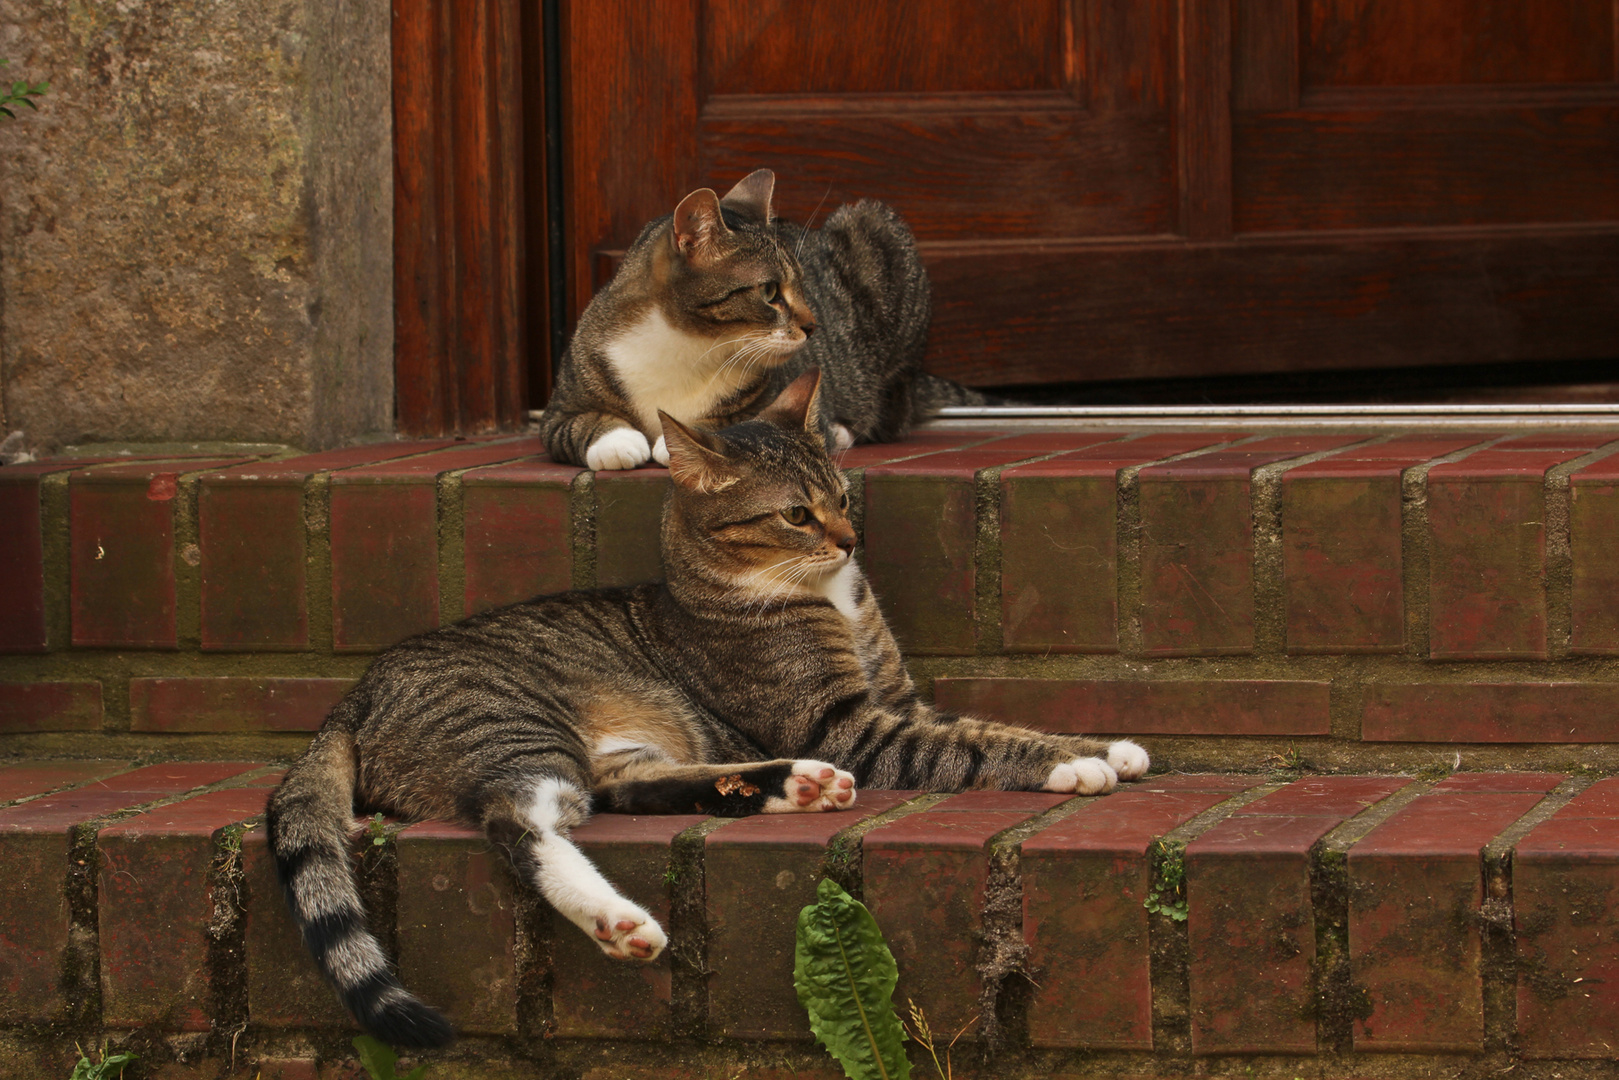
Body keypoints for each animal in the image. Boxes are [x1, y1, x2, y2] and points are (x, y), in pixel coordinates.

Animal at [265, 369, 1146, 1049]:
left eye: (842, 495)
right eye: (796, 514)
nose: (850, 541)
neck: (825, 593)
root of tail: (357, 693)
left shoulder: (895, 698)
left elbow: (981, 723)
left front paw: (1110, 746)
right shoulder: (848, 725)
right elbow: (971, 744)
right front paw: (1075, 764)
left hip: (622, 751)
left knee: (629, 793)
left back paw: (799, 787)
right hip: (515, 727)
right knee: (520, 822)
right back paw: (620, 921)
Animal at [540, 169, 984, 472]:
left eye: (803, 286)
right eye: (770, 292)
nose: (813, 325)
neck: (684, 344)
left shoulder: (779, 395)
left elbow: (743, 420)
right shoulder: (559, 408)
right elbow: (578, 424)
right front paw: (618, 443)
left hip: (876, 230)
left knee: (890, 411)